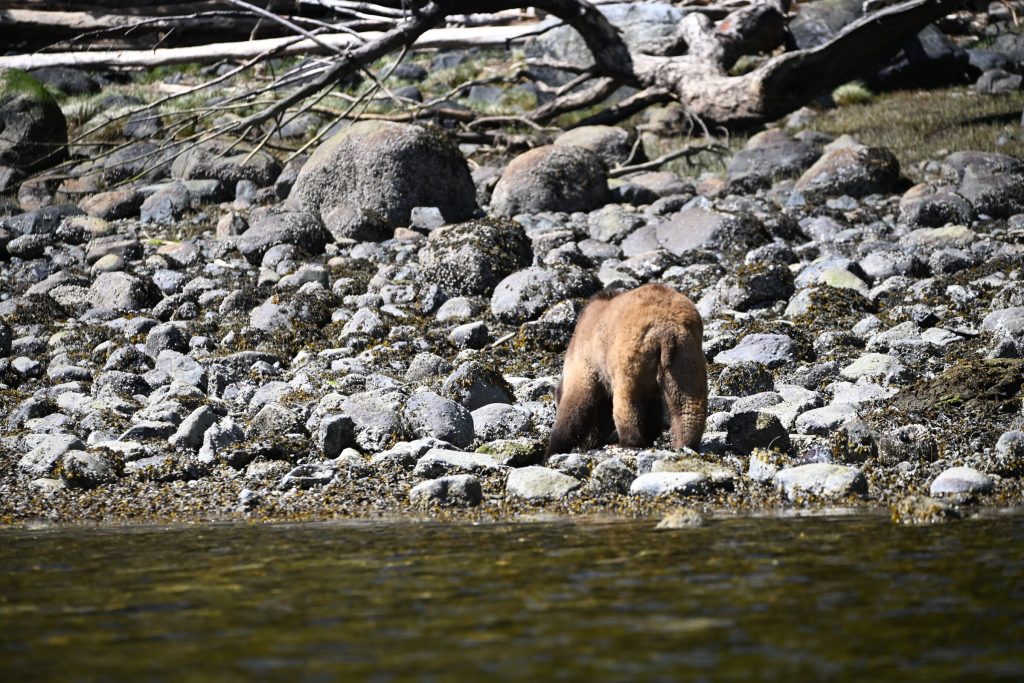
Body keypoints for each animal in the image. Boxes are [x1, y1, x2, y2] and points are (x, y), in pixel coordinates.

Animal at [546, 283, 707, 456]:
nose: (587, 444)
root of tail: (666, 330)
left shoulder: (585, 360)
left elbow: (577, 402)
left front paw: (552, 449)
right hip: (686, 354)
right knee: (687, 401)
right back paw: (685, 443)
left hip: (630, 355)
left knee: (628, 400)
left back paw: (629, 441)